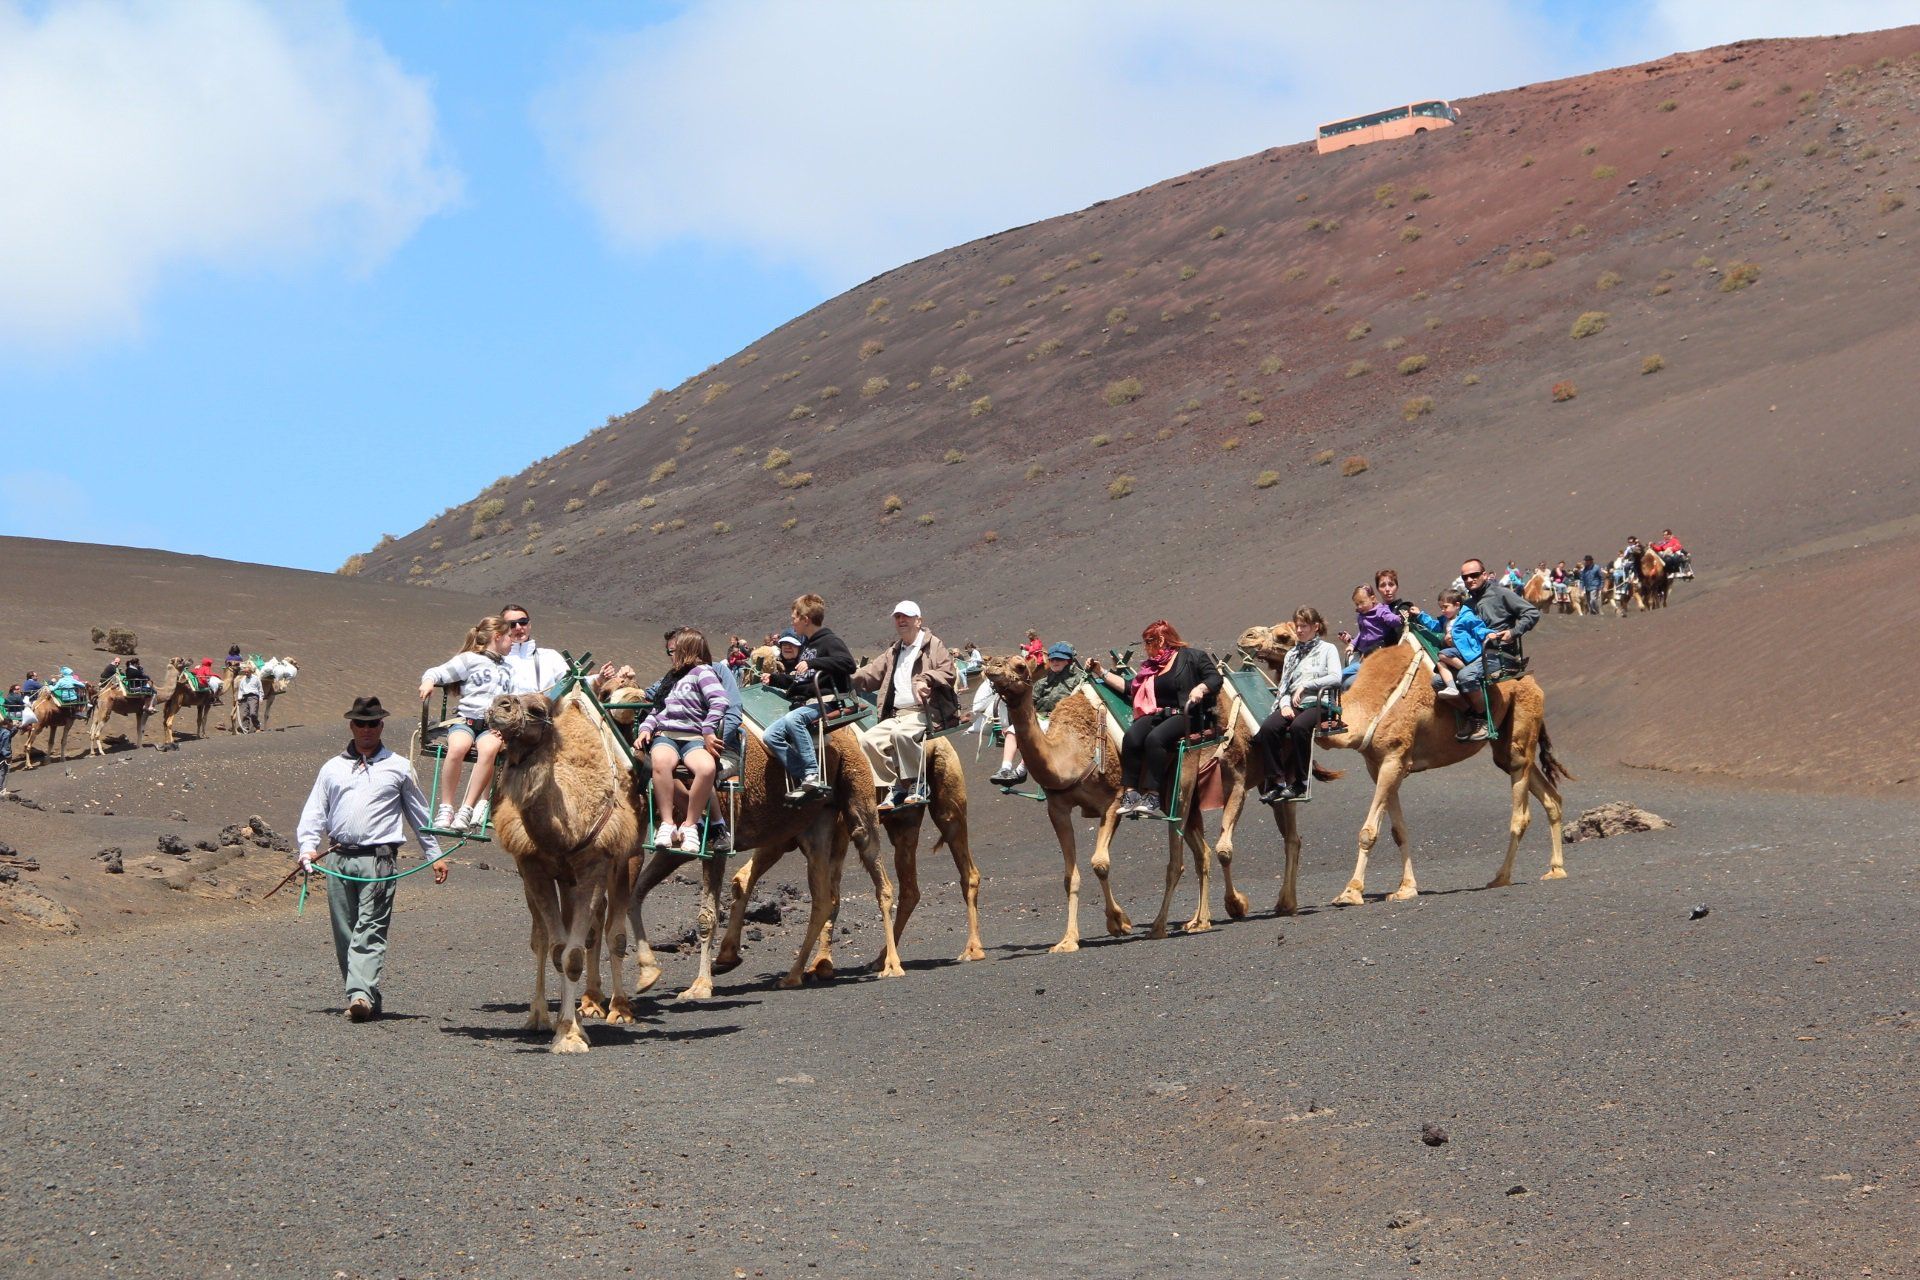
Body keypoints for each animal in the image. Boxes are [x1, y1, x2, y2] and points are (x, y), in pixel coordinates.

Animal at [483, 690, 656, 1051]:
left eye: (537, 708)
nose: (499, 705)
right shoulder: (533, 867)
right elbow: (557, 949)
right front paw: (565, 1026)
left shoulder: (597, 864)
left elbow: (576, 954)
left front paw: (571, 1034)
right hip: (559, 878)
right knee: (553, 935)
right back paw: (560, 1011)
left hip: (627, 857)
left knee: (610, 930)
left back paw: (617, 1007)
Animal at [975, 660, 1259, 951]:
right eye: (995, 661)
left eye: (1020, 665)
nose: (991, 668)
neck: (1072, 752)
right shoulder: (1058, 808)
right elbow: (1070, 876)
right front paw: (1067, 940)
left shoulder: (1113, 802)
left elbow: (1100, 863)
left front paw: (1119, 923)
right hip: (1177, 796)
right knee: (1202, 852)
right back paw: (1200, 921)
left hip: (1183, 783)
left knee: (1179, 860)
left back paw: (1166, 925)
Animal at [1297, 625, 1566, 905]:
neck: (1369, 706)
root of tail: (1532, 681)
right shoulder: (1379, 765)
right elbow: (1399, 831)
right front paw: (1406, 888)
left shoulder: (1394, 758)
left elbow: (1368, 832)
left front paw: (1351, 892)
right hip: (1505, 746)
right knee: (1551, 798)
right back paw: (1556, 869)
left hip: (1520, 731)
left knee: (1521, 812)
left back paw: (1501, 877)